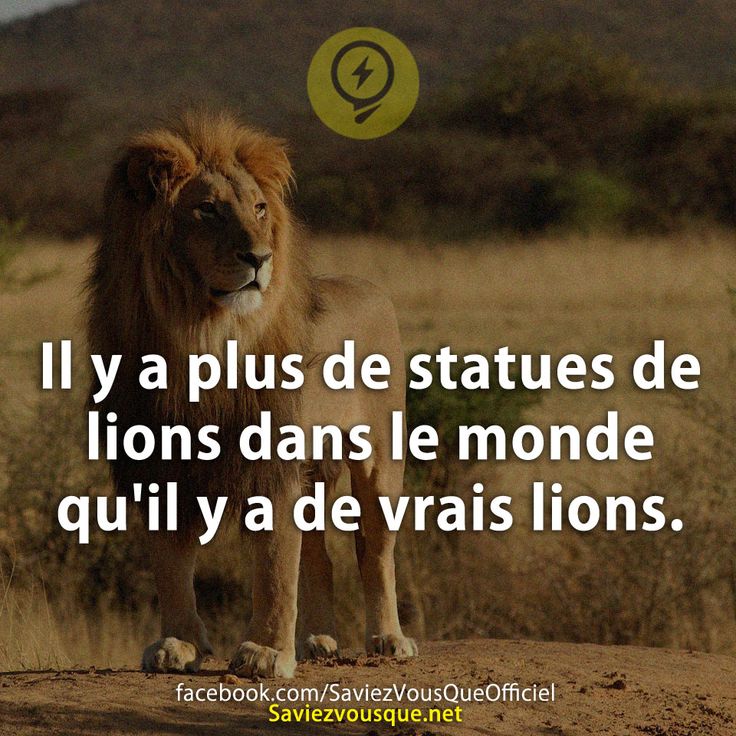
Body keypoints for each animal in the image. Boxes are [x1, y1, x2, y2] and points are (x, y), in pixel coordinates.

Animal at [86, 110, 417, 678]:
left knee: (374, 550)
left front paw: (265, 653)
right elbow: (171, 565)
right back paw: (318, 641)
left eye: (259, 208)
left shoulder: (271, 464)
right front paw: (179, 644)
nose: (259, 257)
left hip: (378, 460)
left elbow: (274, 567)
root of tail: (371, 287)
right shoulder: (159, 462)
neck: (200, 337)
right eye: (208, 209)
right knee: (319, 555)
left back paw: (388, 639)